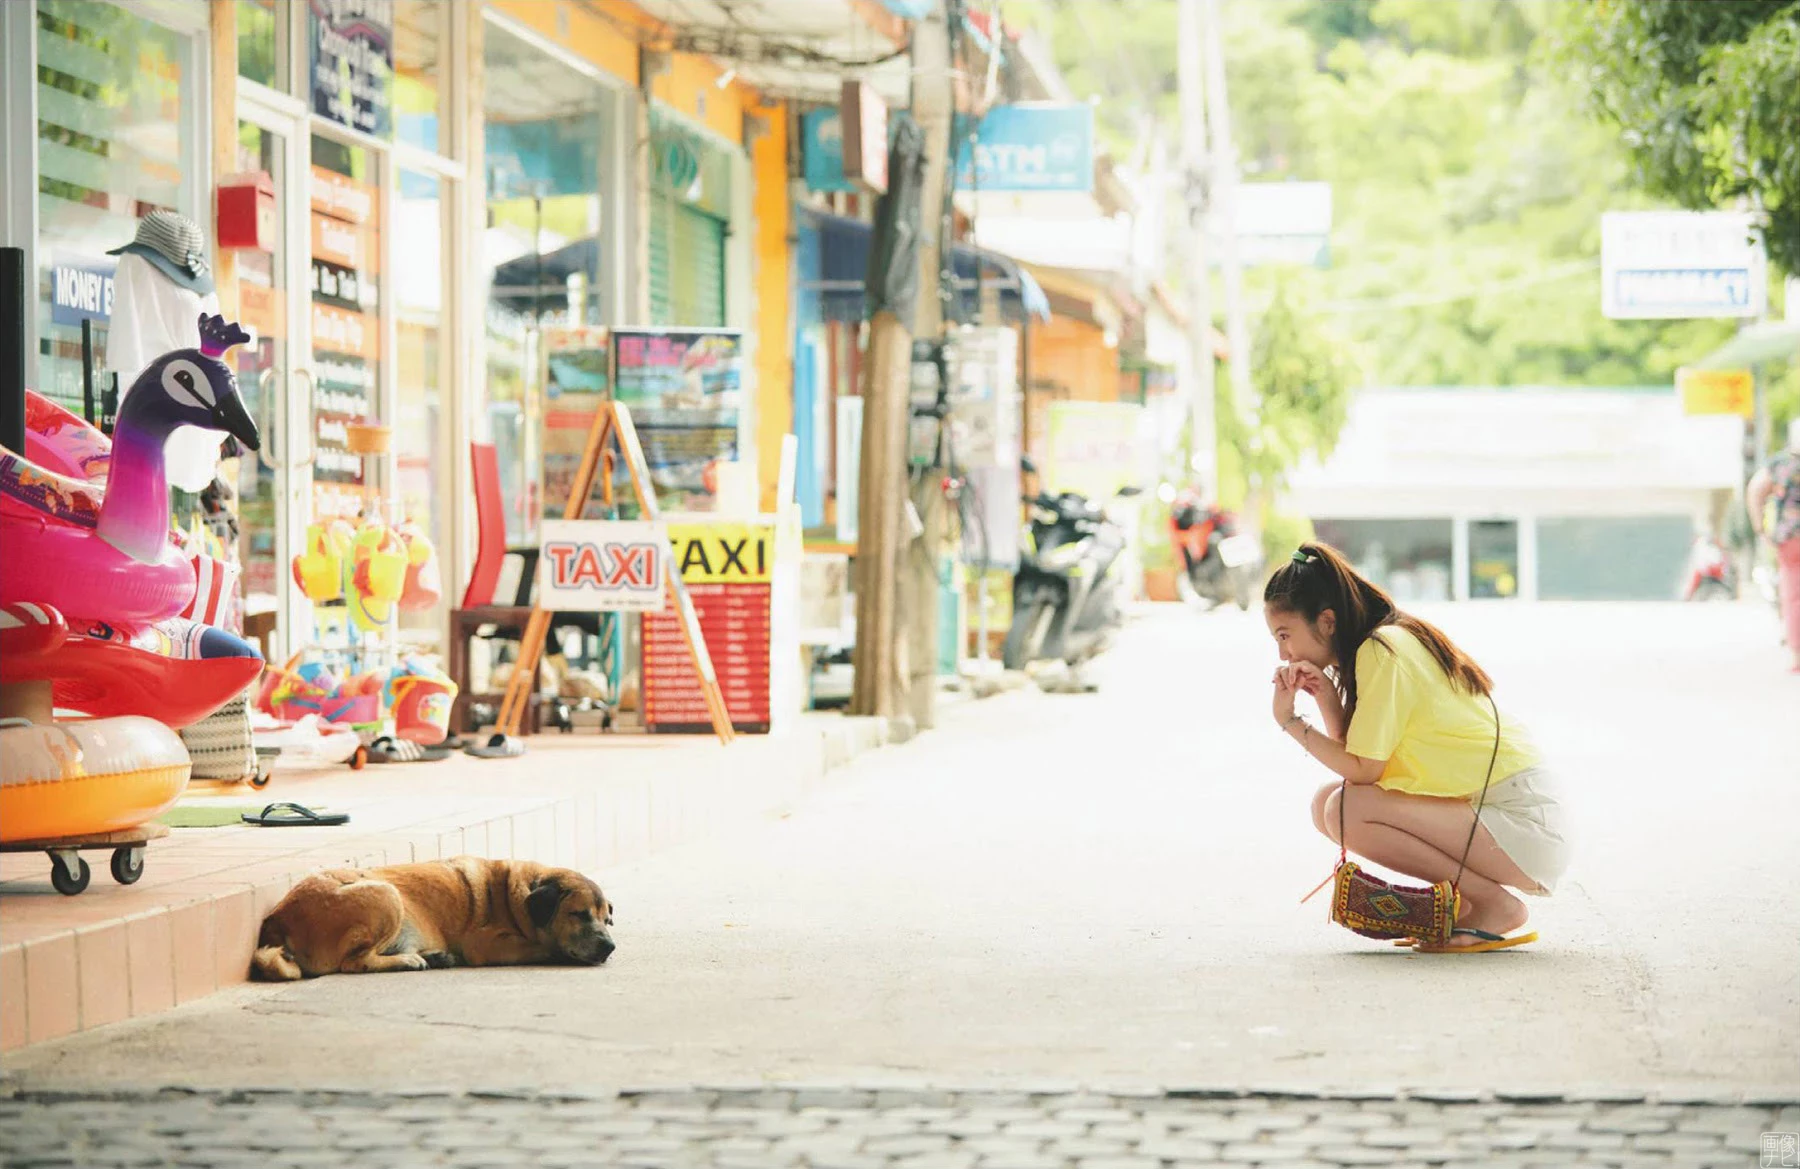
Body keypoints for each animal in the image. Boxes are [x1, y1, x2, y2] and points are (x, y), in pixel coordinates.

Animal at [250, 853, 619, 979]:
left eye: (606, 920)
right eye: (579, 915)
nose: (609, 947)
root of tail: (277, 917)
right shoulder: (486, 945)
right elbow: (543, 947)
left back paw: (433, 957)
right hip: (387, 895)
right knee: (353, 963)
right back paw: (409, 961)